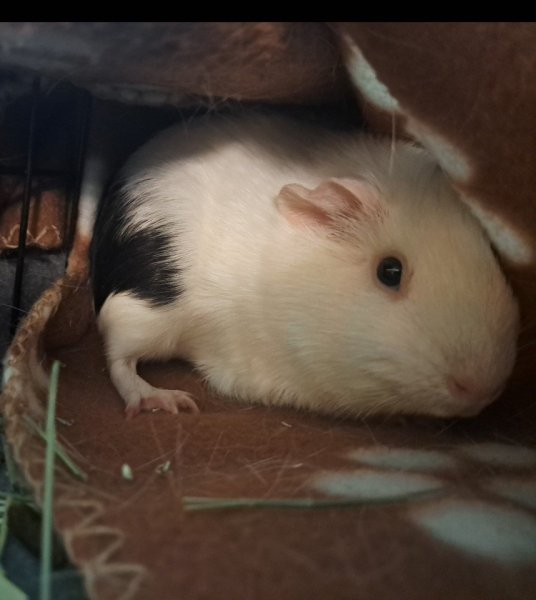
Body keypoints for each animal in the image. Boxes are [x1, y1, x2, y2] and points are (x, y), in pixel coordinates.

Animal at [90, 114, 519, 419]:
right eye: (389, 271)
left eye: (488, 252)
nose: (481, 388)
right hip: (146, 315)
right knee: (118, 352)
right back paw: (166, 401)